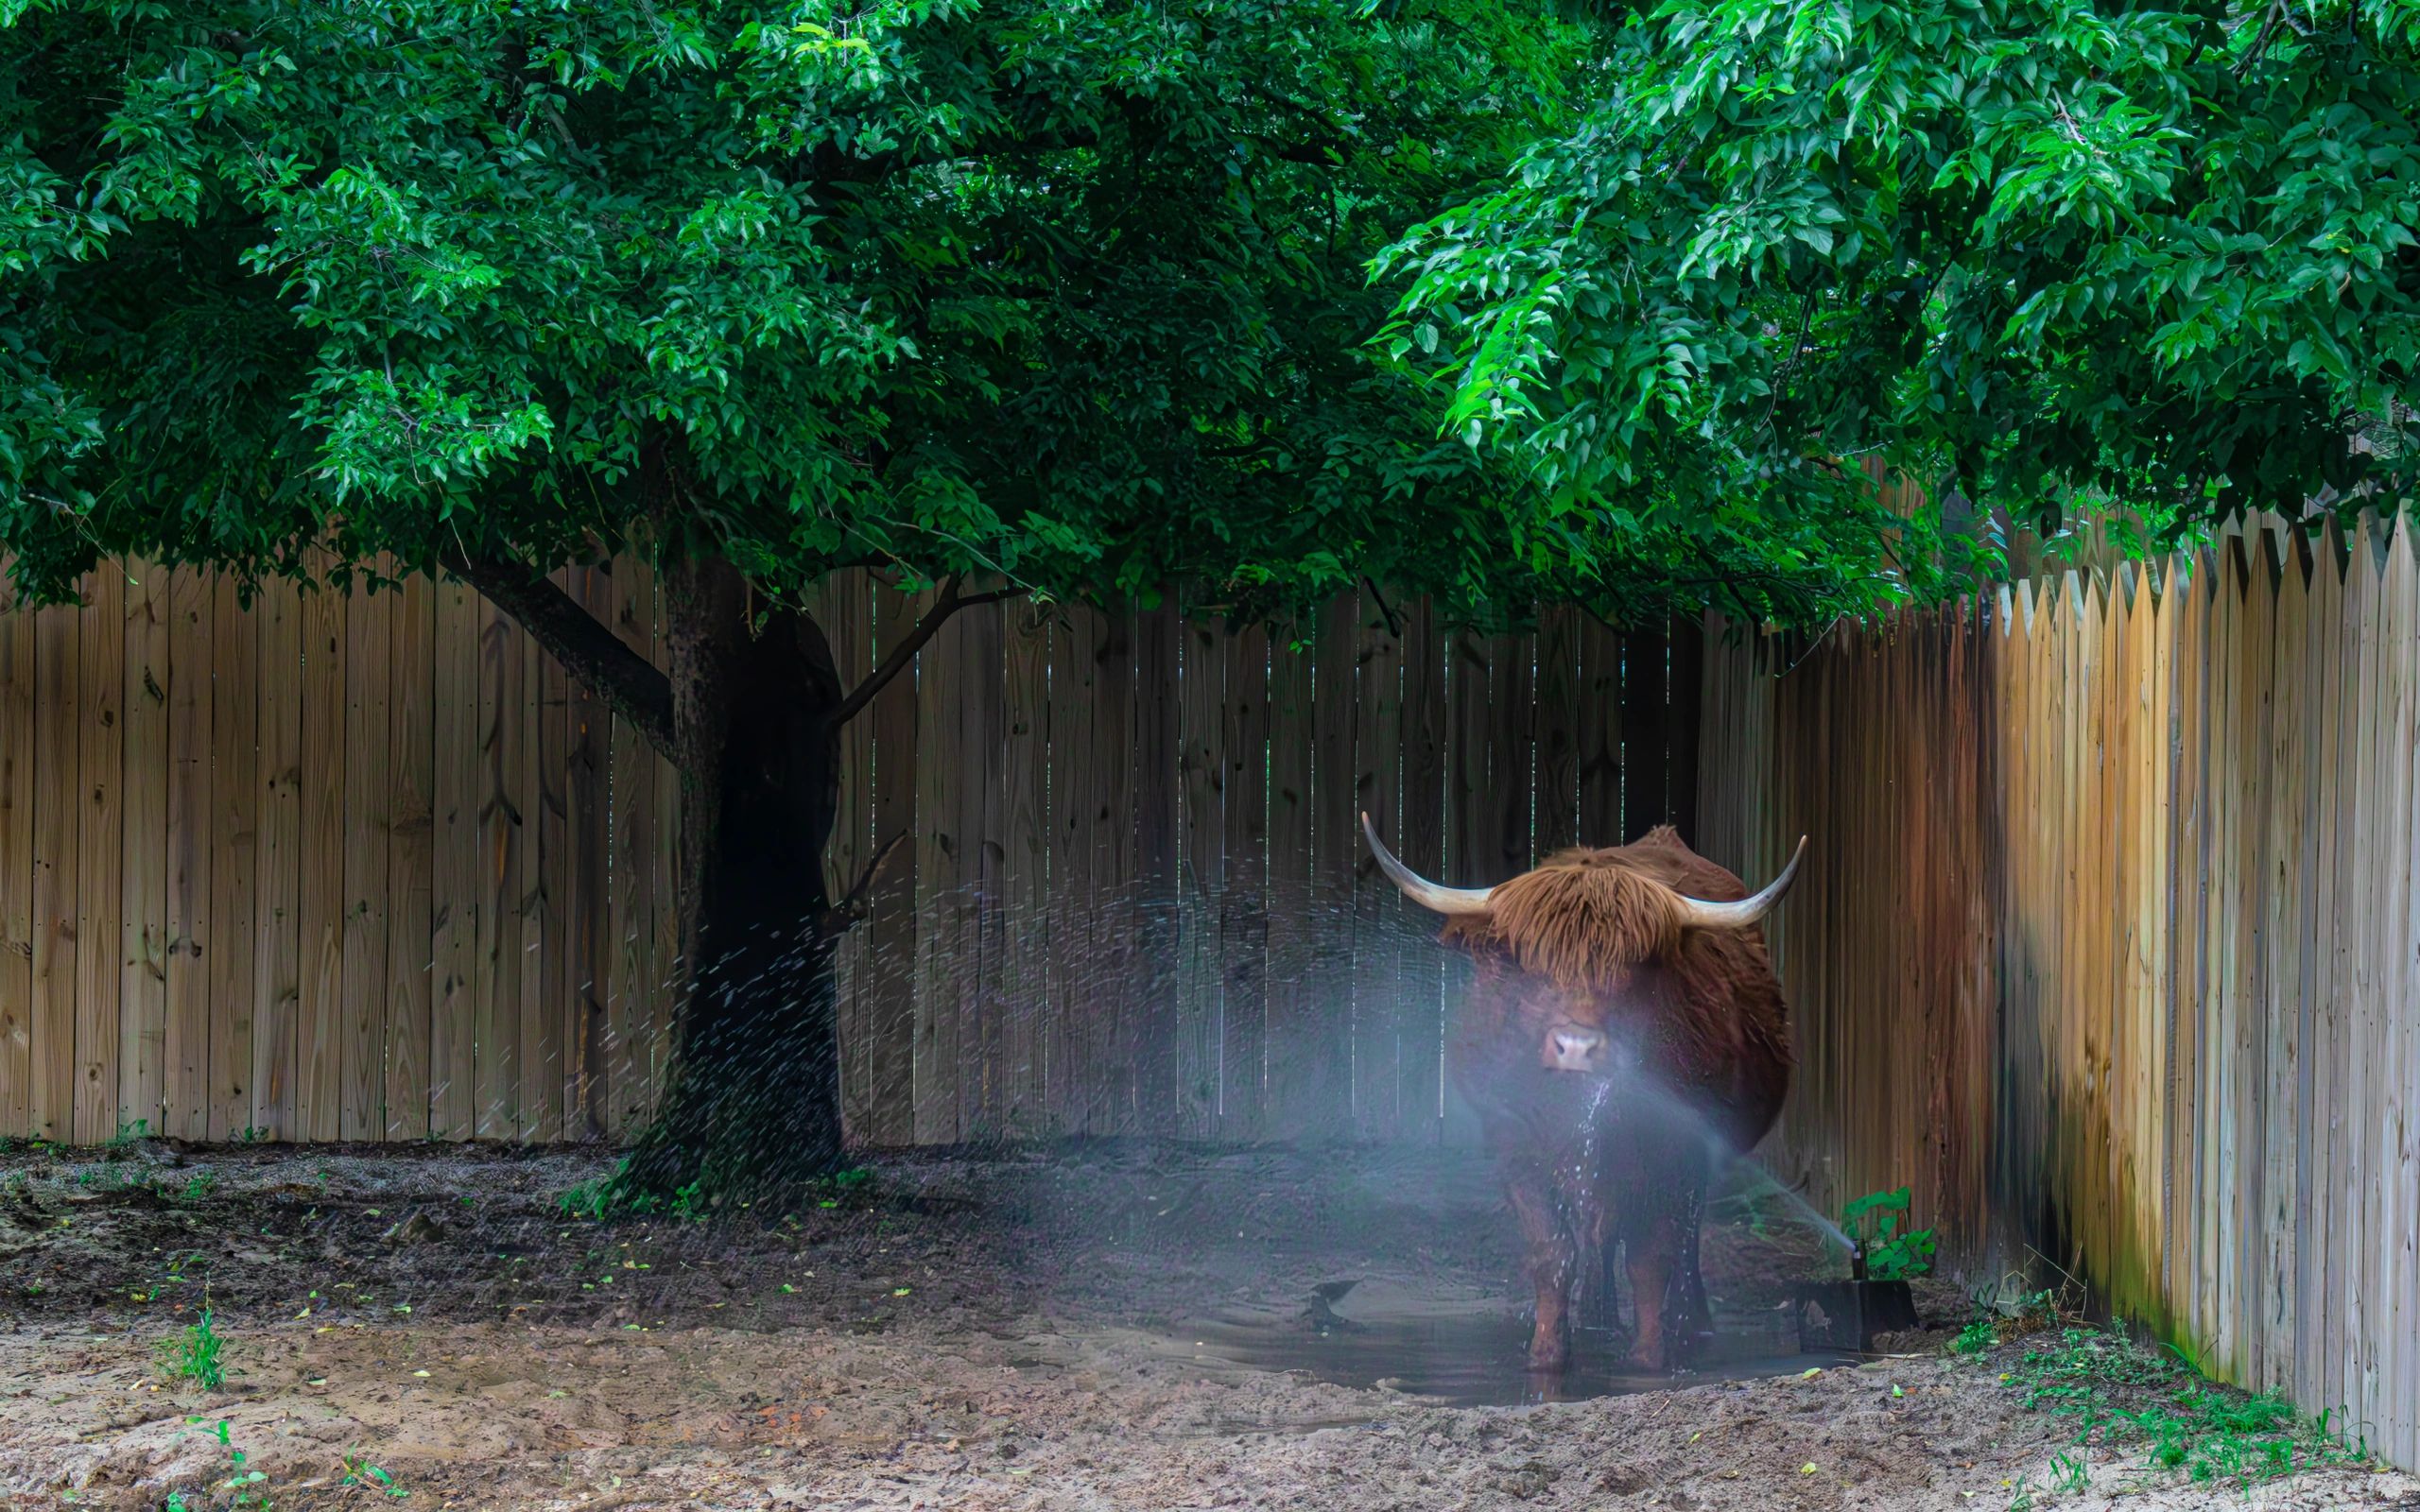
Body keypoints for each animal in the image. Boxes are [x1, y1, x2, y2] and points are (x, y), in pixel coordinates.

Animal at [1364, 817, 1800, 1374]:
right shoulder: (1517, 1147)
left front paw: (1649, 1354)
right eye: (1532, 966)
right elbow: (1553, 1252)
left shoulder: (1673, 1149)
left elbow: (1651, 1256)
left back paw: (1689, 1321)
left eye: (1633, 968)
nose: (1577, 1047)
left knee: (1682, 1237)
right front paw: (1548, 1353)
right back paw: (1599, 1317)